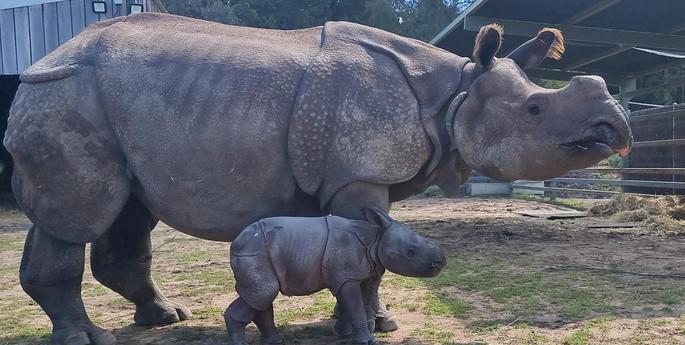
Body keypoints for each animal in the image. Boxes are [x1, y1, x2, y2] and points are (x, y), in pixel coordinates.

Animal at [227, 207, 446, 344]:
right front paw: (368, 340)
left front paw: (343, 332)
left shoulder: (359, 272)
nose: (441, 261)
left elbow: (358, 303)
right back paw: (241, 343)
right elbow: (355, 306)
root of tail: (236, 241)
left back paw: (276, 341)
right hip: (253, 251)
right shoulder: (346, 277)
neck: (375, 239)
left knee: (261, 296)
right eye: (411, 252)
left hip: (258, 251)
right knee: (264, 292)